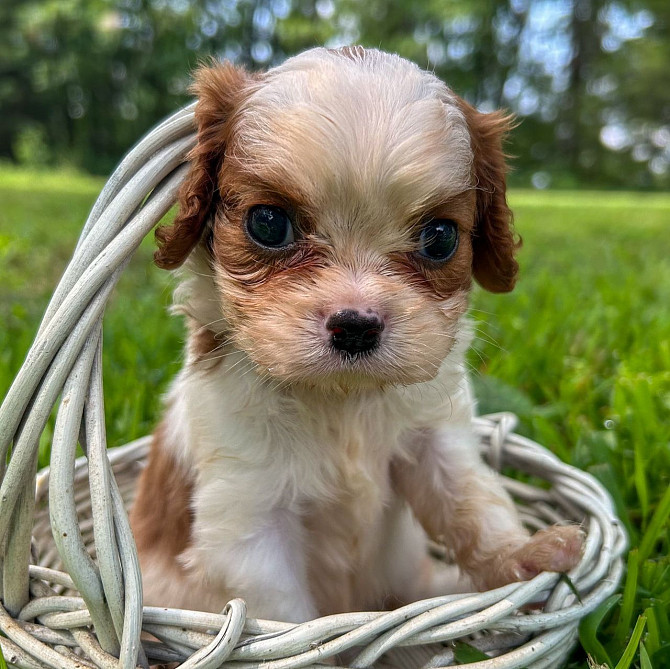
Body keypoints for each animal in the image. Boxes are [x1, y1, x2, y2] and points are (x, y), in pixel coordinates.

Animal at [130, 45, 584, 620]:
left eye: (441, 238)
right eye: (268, 224)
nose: (356, 327)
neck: (342, 399)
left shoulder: (436, 440)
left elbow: (472, 502)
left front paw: (523, 558)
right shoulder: (247, 521)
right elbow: (288, 618)